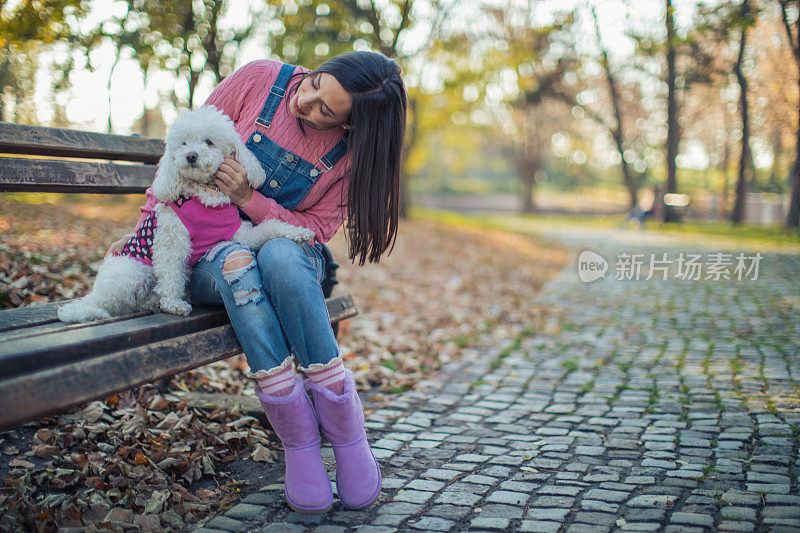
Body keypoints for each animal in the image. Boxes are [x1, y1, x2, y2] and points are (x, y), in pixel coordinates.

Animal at [57, 103, 314, 320]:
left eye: (208, 142)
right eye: (183, 143)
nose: (191, 156)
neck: (206, 196)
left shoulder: (239, 233)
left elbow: (270, 226)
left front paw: (300, 233)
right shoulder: (172, 241)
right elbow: (171, 271)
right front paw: (173, 305)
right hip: (131, 274)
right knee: (105, 302)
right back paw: (92, 312)